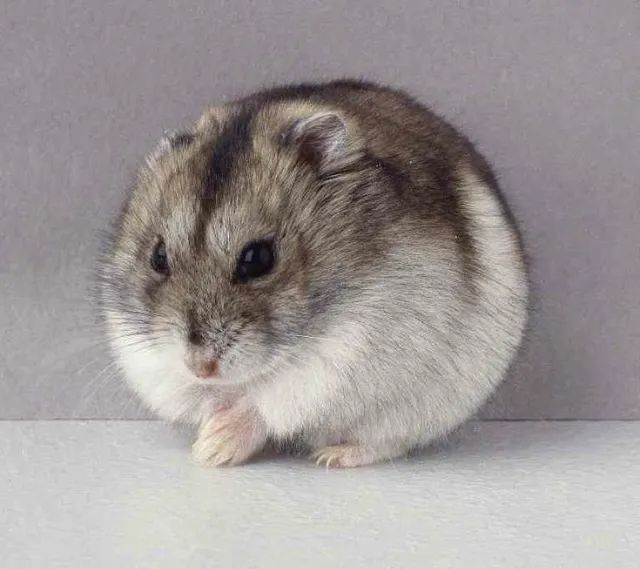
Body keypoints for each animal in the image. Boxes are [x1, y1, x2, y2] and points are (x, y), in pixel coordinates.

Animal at [99, 80, 529, 467]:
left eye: (258, 259)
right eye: (158, 257)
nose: (200, 367)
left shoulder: (345, 353)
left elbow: (266, 403)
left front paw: (211, 450)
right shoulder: (147, 358)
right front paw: (206, 439)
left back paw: (333, 456)